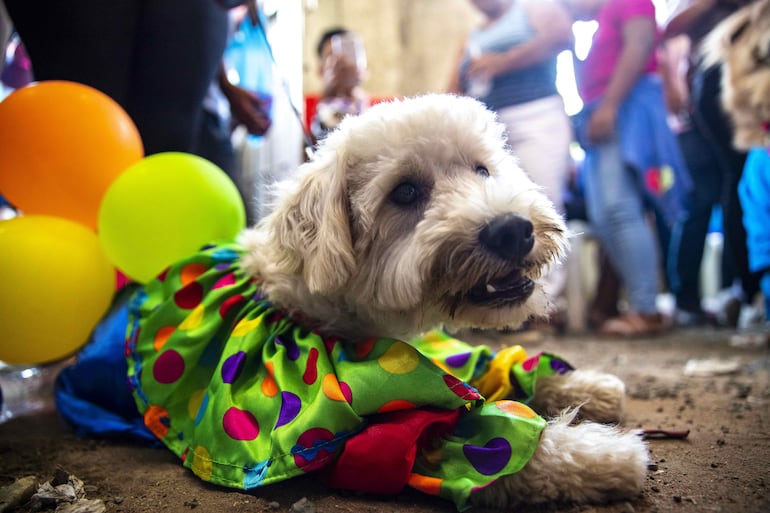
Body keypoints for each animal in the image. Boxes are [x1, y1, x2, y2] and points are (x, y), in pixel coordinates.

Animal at [242, 94, 648, 506]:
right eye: (404, 192)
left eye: (482, 170)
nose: (513, 230)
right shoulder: (401, 433)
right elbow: (513, 454)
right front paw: (605, 455)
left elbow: (493, 365)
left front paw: (588, 388)